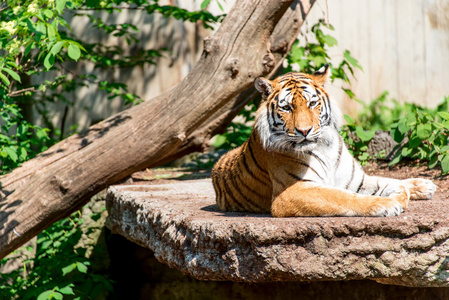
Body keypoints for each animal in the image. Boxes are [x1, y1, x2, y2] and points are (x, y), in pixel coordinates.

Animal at [212, 64, 436, 217]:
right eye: (287, 108)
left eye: (312, 103)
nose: (304, 130)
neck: (324, 148)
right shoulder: (291, 192)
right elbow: (341, 196)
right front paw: (384, 204)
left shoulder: (356, 179)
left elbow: (395, 184)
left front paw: (406, 191)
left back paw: (424, 184)